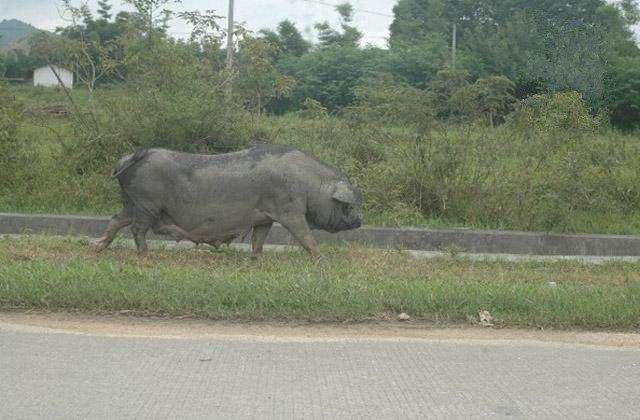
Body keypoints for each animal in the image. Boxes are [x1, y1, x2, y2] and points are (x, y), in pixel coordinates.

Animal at [92, 144, 362, 260]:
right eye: (348, 204)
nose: (360, 220)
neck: (310, 183)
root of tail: (133, 156)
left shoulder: (265, 216)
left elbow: (259, 239)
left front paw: (257, 259)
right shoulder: (289, 209)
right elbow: (304, 235)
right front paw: (321, 259)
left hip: (133, 202)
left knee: (116, 219)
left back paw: (96, 248)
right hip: (146, 203)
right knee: (137, 229)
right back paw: (145, 256)